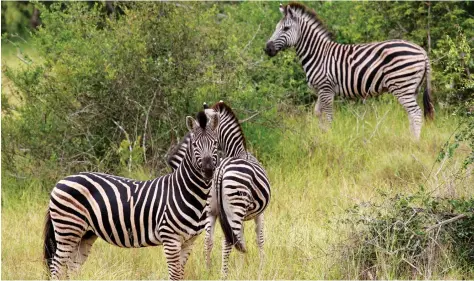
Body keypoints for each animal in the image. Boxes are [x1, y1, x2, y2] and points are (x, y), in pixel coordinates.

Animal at [41, 110, 219, 278]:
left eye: (216, 143)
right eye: (195, 145)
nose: (208, 170)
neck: (186, 192)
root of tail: (61, 181)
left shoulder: (189, 241)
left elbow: (180, 273)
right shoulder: (170, 238)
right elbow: (175, 275)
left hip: (85, 234)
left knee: (72, 267)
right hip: (67, 229)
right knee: (57, 266)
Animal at [264, 2, 436, 138]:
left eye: (286, 28)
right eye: (276, 28)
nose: (267, 49)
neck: (318, 53)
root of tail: (422, 51)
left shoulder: (326, 89)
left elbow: (328, 117)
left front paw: (328, 139)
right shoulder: (320, 90)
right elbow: (318, 113)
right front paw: (321, 137)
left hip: (402, 86)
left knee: (416, 113)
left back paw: (414, 142)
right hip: (411, 88)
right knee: (412, 114)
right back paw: (409, 138)